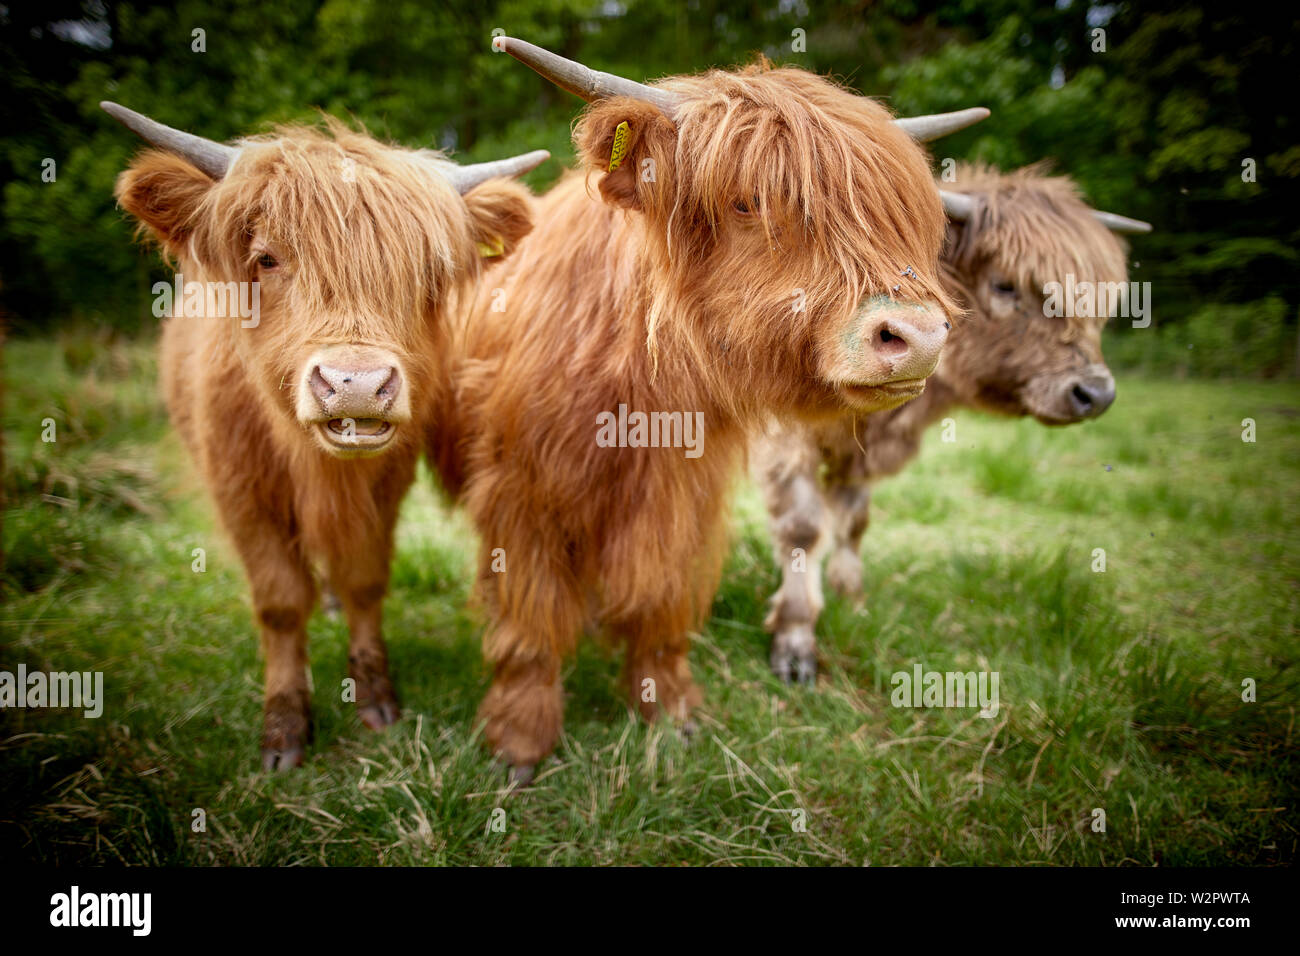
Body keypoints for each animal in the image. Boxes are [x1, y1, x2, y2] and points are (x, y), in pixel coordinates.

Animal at [426, 39, 982, 785]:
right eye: (749, 202)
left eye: (899, 213)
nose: (917, 337)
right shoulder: (522, 494)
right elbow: (531, 620)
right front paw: (520, 740)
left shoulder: (683, 492)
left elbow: (663, 600)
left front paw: (671, 711)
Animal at [754, 160, 1149, 681]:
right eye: (1004, 284)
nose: (1096, 394)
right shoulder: (786, 440)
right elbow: (803, 527)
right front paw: (795, 639)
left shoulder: (859, 458)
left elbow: (853, 522)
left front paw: (851, 600)